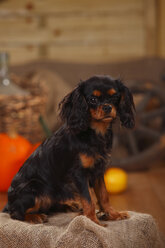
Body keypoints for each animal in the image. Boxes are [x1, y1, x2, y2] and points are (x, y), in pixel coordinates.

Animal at [2, 74, 135, 226]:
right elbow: (89, 200)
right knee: (15, 213)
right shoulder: (79, 174)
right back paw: (34, 216)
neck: (94, 132)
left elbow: (104, 196)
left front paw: (113, 214)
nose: (107, 107)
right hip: (36, 187)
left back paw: (69, 206)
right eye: (93, 99)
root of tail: (8, 203)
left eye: (115, 97)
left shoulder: (98, 171)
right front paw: (93, 221)